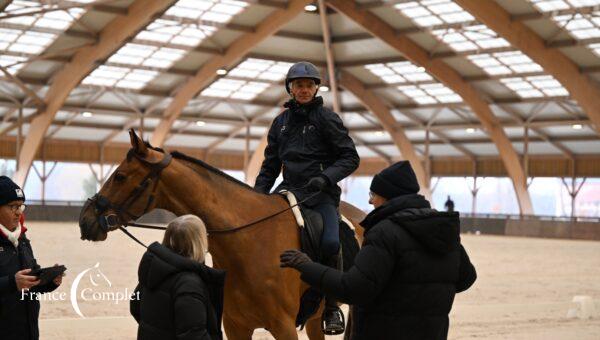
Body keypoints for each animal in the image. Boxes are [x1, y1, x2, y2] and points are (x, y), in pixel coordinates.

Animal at [77, 130, 364, 340]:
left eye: (120, 176)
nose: (85, 220)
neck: (250, 242)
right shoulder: (236, 326)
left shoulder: (283, 327)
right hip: (314, 320)